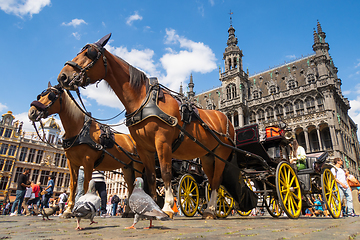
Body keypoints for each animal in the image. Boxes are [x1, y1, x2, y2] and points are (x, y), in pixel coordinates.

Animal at [27, 82, 143, 218]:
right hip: (127, 168)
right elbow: (73, 185)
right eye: (40, 96)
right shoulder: (72, 163)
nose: (32, 112)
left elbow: (87, 184)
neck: (79, 130)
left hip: (137, 165)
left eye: (52, 95)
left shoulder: (88, 162)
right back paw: (128, 212)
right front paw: (68, 211)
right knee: (130, 187)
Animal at [57, 32, 235, 218]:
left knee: (216, 180)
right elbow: (150, 178)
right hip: (207, 155)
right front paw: (151, 207)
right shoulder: (144, 148)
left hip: (221, 154)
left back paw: (212, 209)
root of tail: (226, 119)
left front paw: (167, 207)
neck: (143, 100)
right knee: (211, 179)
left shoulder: (162, 142)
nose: (62, 76)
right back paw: (209, 210)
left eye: (89, 53)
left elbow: (165, 172)